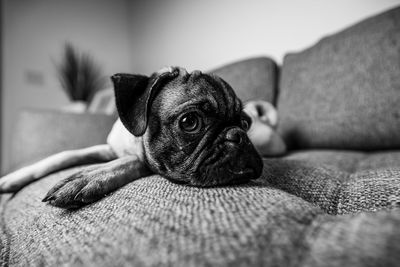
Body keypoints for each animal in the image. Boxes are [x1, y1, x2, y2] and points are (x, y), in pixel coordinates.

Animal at [0, 67, 284, 209]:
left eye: (244, 123)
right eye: (190, 122)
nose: (238, 135)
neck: (135, 141)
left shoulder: (142, 160)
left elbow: (125, 163)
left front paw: (87, 178)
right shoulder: (106, 148)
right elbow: (65, 155)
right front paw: (12, 178)